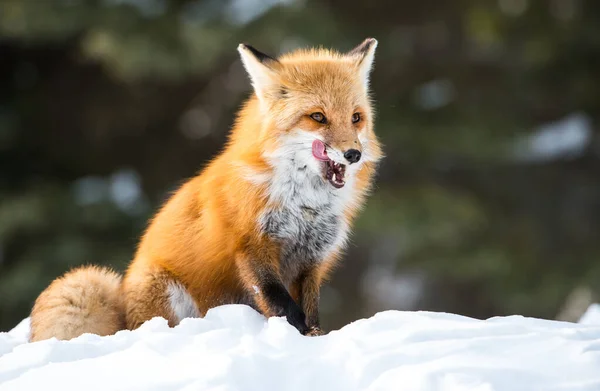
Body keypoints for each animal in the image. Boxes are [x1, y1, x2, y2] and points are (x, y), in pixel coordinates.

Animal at [28, 38, 382, 342]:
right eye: (318, 117)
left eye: (356, 118)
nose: (354, 154)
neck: (306, 207)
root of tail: (124, 313)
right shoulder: (252, 249)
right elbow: (282, 306)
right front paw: (297, 337)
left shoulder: (313, 260)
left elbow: (310, 310)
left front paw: (315, 337)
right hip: (167, 292)